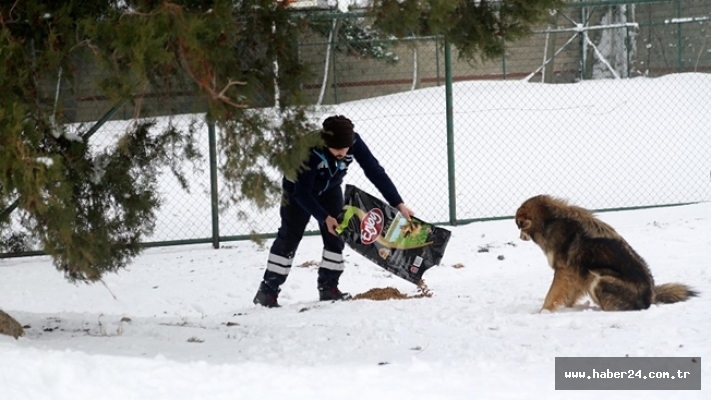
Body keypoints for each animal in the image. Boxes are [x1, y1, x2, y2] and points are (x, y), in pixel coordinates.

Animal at [516, 195, 700, 310]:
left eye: (518, 226)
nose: (519, 238)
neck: (548, 222)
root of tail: (651, 297)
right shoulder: (577, 273)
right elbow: (569, 296)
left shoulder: (563, 271)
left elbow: (551, 295)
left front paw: (542, 312)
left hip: (600, 279)